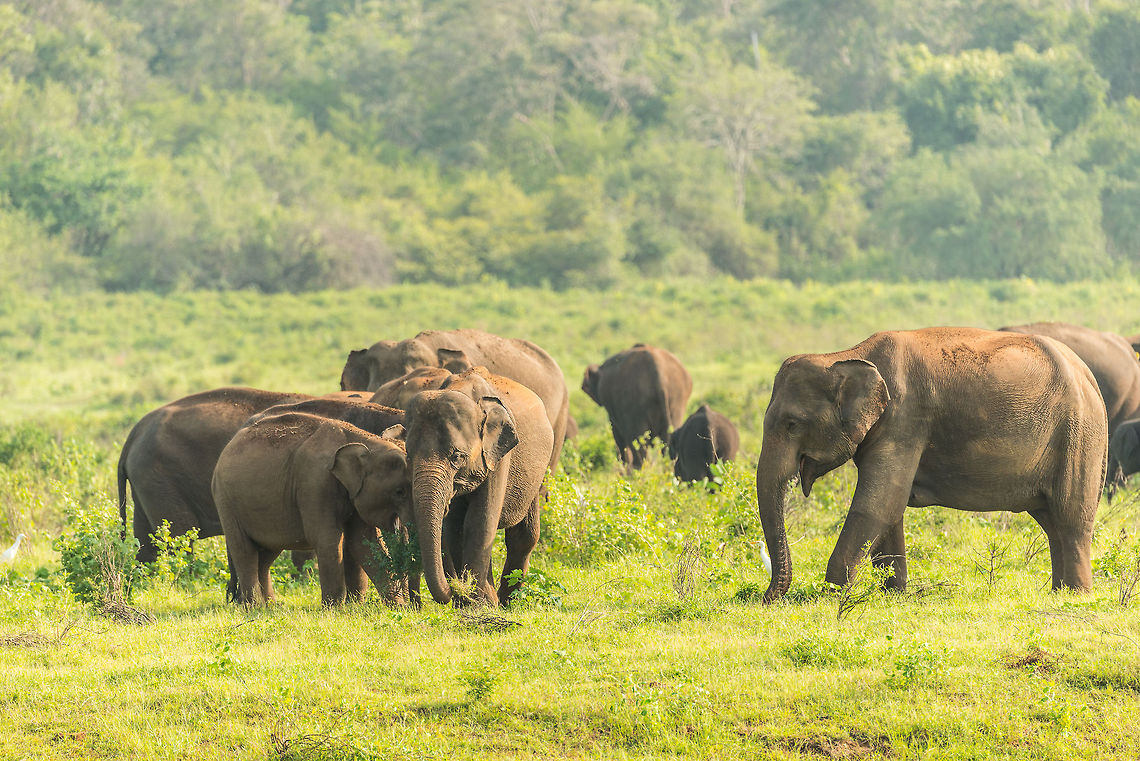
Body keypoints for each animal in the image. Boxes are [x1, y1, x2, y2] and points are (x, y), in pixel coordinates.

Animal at [212, 413, 411, 606]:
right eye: (399, 491)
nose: (410, 604)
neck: (362, 440)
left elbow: (362, 541)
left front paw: (391, 607)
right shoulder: (315, 484)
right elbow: (328, 540)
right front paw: (334, 609)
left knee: (266, 554)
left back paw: (270, 606)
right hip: (226, 501)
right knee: (244, 551)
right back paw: (253, 607)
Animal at [400, 367, 554, 607]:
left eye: (457, 456)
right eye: (408, 454)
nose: (454, 589)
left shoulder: (499, 455)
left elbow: (480, 520)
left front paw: (480, 603)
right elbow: (455, 526)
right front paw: (470, 601)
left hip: (536, 475)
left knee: (523, 535)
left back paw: (508, 602)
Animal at [756, 327, 1107, 603]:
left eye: (791, 424)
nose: (766, 598)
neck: (846, 355)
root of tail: (1089, 377)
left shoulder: (904, 418)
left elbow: (878, 505)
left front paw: (831, 594)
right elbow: (890, 509)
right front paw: (893, 595)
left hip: (1078, 437)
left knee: (1071, 518)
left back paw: (1076, 598)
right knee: (1052, 522)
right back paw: (1060, 593)